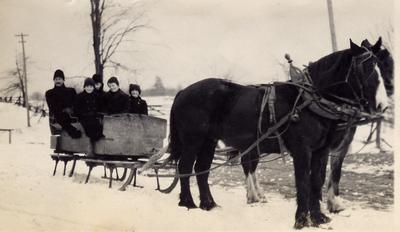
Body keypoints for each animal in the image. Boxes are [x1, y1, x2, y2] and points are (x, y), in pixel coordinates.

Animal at [167, 38, 382, 228]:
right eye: (366, 68)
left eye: (379, 66)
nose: (379, 105)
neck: (309, 101)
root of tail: (183, 92)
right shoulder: (302, 150)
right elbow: (303, 182)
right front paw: (301, 221)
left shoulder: (321, 151)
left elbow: (316, 181)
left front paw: (318, 218)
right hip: (193, 141)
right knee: (185, 168)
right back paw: (188, 203)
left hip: (209, 141)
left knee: (201, 170)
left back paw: (208, 205)